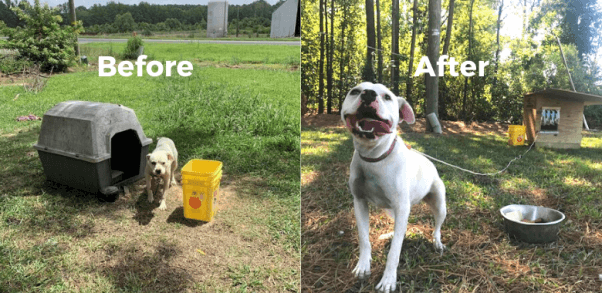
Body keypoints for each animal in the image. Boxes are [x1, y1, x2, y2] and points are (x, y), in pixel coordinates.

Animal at [340, 81, 442, 290]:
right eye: (354, 91)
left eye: (387, 97)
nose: (368, 94)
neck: (374, 158)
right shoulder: (359, 203)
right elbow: (364, 238)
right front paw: (363, 266)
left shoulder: (402, 207)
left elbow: (394, 252)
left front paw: (388, 279)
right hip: (391, 210)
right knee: (400, 228)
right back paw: (389, 235)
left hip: (439, 203)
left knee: (436, 226)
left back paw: (437, 241)